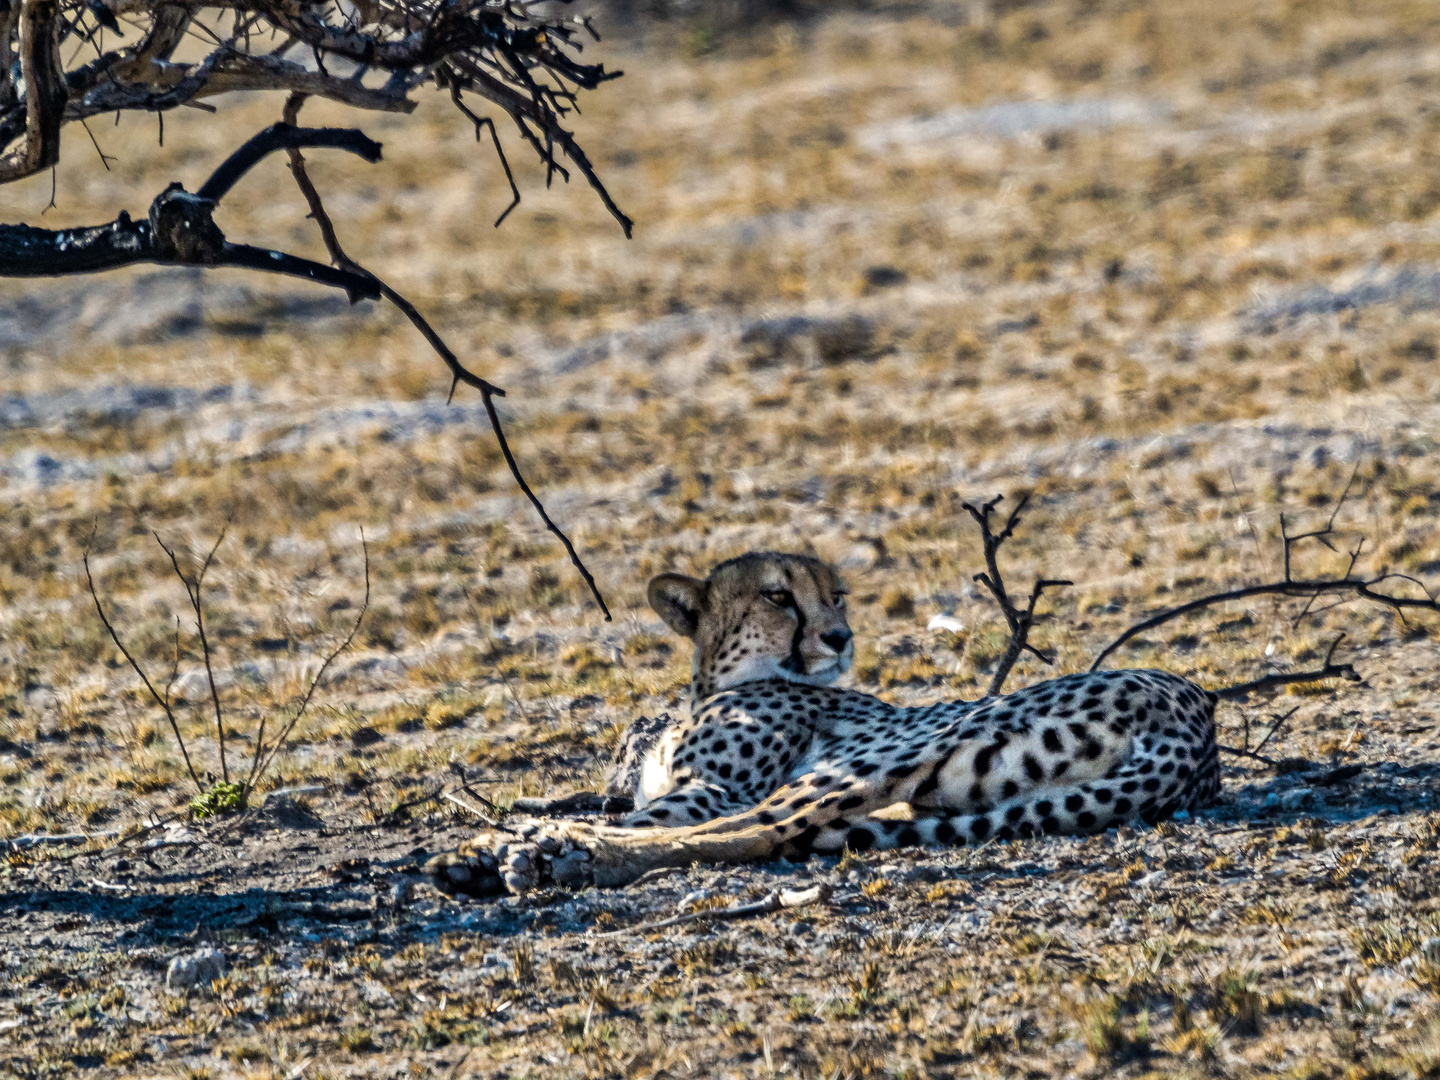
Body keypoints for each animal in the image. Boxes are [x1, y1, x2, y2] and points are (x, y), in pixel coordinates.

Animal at [426, 550, 1215, 898]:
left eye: (836, 594)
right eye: (778, 596)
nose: (840, 636)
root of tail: (1198, 724)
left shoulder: (713, 788)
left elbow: (646, 817)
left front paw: (509, 842)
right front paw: (482, 853)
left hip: (865, 760)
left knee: (753, 833)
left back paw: (567, 856)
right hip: (914, 801)